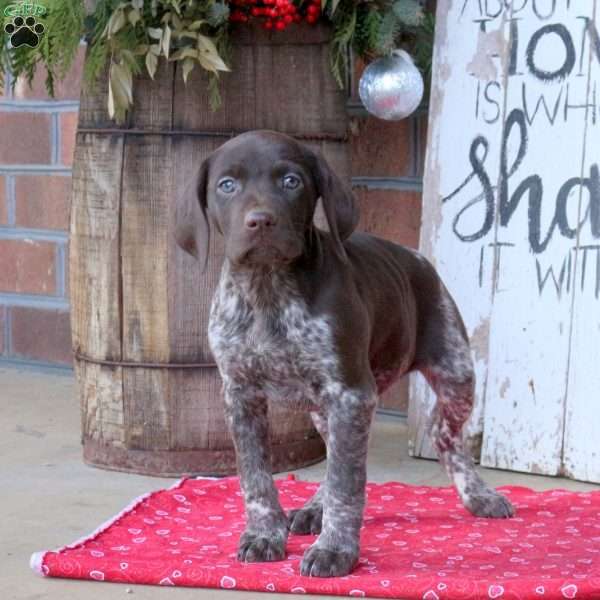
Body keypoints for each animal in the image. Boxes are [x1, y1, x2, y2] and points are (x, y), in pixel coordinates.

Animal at [175, 130, 516, 576]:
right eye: (226, 185)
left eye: (291, 182)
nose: (261, 221)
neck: (268, 291)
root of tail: (417, 258)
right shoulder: (241, 395)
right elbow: (256, 479)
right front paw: (265, 535)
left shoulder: (350, 393)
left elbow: (345, 482)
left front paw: (335, 549)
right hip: (327, 406)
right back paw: (313, 508)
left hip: (454, 373)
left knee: (443, 436)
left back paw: (477, 495)